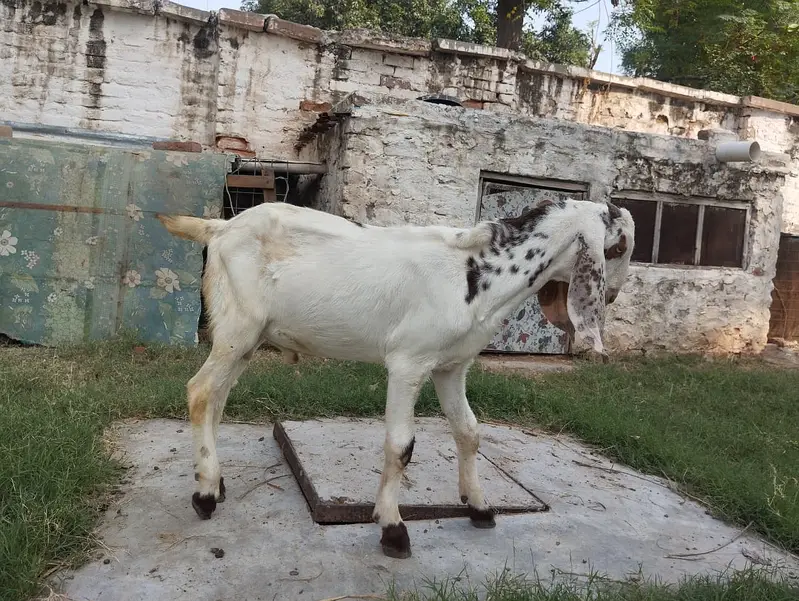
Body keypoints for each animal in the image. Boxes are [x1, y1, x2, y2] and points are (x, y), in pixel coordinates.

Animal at [157, 197, 634, 559]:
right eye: (617, 247)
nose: (612, 295)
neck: (477, 275)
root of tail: (219, 227)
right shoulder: (409, 361)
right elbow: (402, 445)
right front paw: (392, 528)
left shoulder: (451, 366)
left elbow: (469, 432)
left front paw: (479, 506)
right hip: (238, 326)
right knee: (201, 391)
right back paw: (204, 495)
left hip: (245, 337)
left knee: (218, 398)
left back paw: (214, 481)